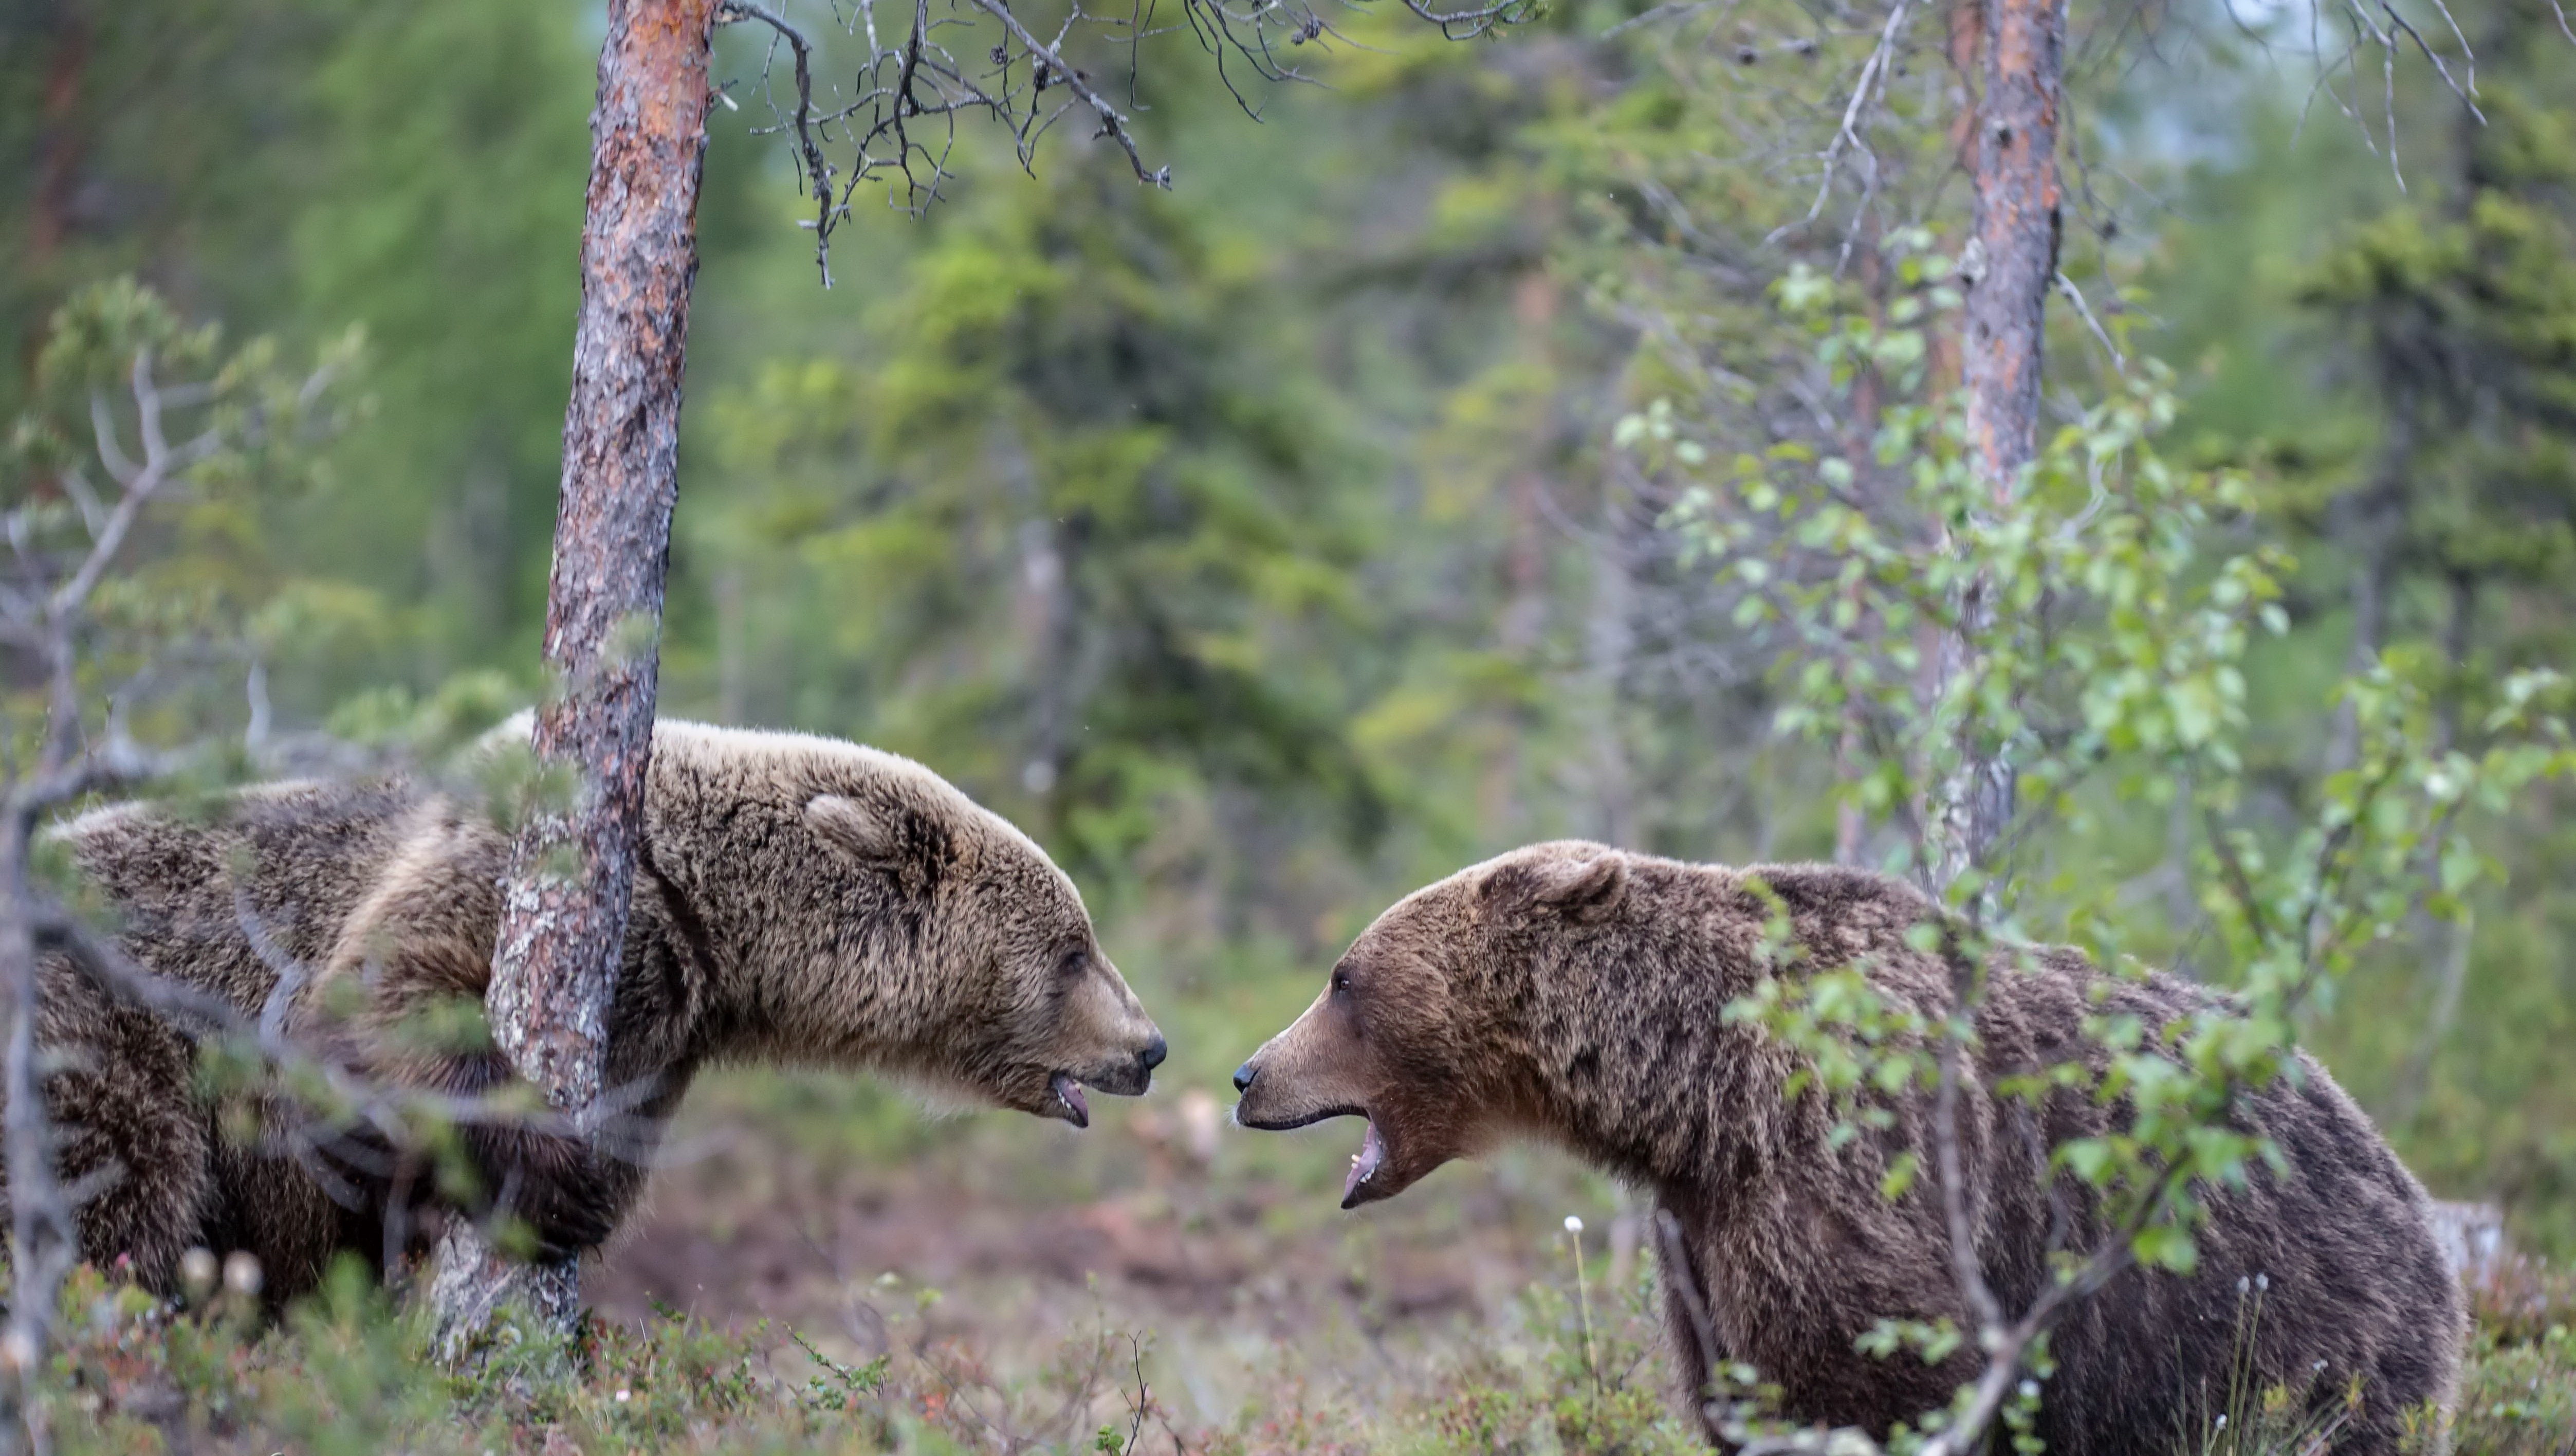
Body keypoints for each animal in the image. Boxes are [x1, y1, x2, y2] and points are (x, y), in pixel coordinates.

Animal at [7, 721, 1169, 1299]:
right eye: (1074, 948)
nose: (1152, 1045)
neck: (713, 923)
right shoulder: (528, 878)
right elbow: (367, 1014)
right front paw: (551, 1180)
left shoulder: (665, 1029)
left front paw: (586, 1192)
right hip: (100, 1039)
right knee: (117, 1199)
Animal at [1236, 840, 2462, 1453]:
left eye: (1340, 979)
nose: (1249, 1075)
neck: (1698, 1096)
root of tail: (2406, 1181)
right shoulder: (1706, 1238)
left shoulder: (1846, 1185)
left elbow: (1870, 1379)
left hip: (2280, 1323)